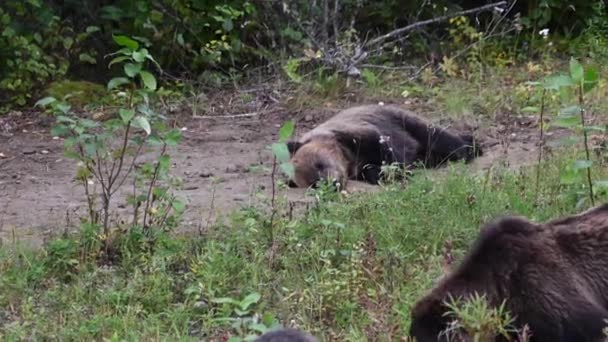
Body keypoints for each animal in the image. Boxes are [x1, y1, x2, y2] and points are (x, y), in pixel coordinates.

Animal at [288, 104, 482, 190]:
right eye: (313, 183)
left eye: (319, 164)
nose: (333, 183)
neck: (348, 158)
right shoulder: (358, 165)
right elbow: (371, 171)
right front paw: (383, 174)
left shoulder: (360, 134)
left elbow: (385, 150)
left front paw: (398, 171)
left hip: (398, 118)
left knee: (433, 134)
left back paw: (470, 147)